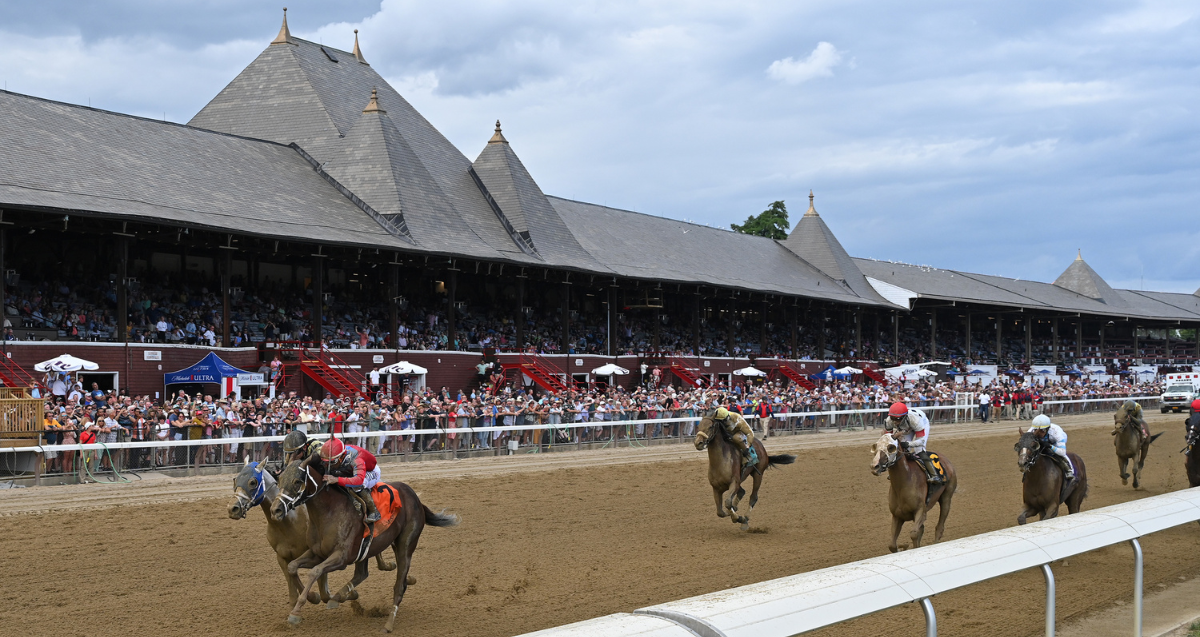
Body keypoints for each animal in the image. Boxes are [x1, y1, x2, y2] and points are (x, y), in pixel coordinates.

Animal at [272, 458, 458, 633]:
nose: (276, 510)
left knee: (399, 586)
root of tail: (415, 497)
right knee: (362, 574)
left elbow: (314, 571)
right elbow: (292, 566)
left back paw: (388, 624)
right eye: (279, 480)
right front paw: (312, 596)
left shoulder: (341, 557)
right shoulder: (317, 553)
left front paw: (296, 612)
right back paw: (338, 597)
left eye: (297, 481)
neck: (329, 512)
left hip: (405, 545)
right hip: (368, 549)